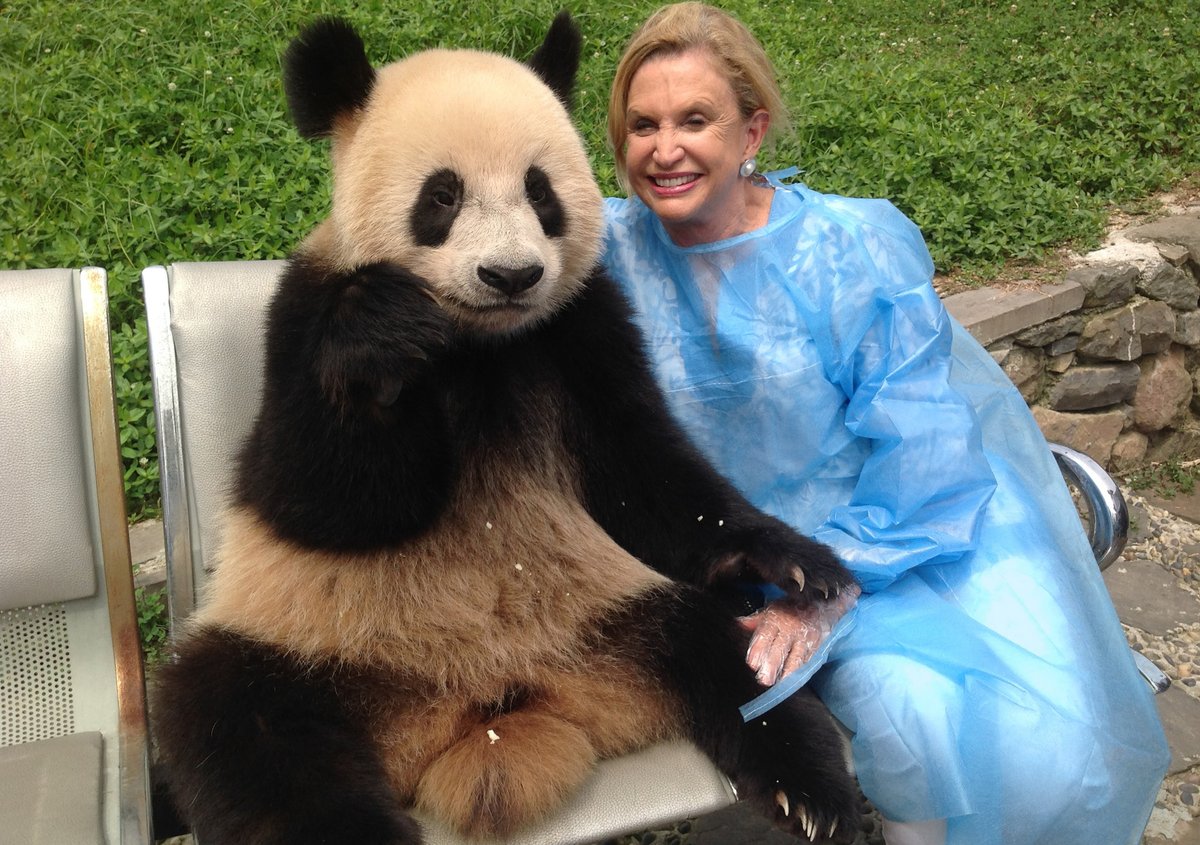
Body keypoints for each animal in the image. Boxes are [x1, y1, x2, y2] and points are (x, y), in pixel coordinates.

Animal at [152, 13, 861, 845]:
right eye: (443, 195)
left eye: (540, 190)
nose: (512, 275)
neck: (479, 341)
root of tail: (492, 707)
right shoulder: (302, 316)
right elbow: (318, 498)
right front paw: (383, 336)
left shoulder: (580, 326)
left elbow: (643, 472)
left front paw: (798, 561)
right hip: (309, 638)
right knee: (246, 729)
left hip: (617, 608)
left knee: (730, 659)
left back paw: (813, 792)